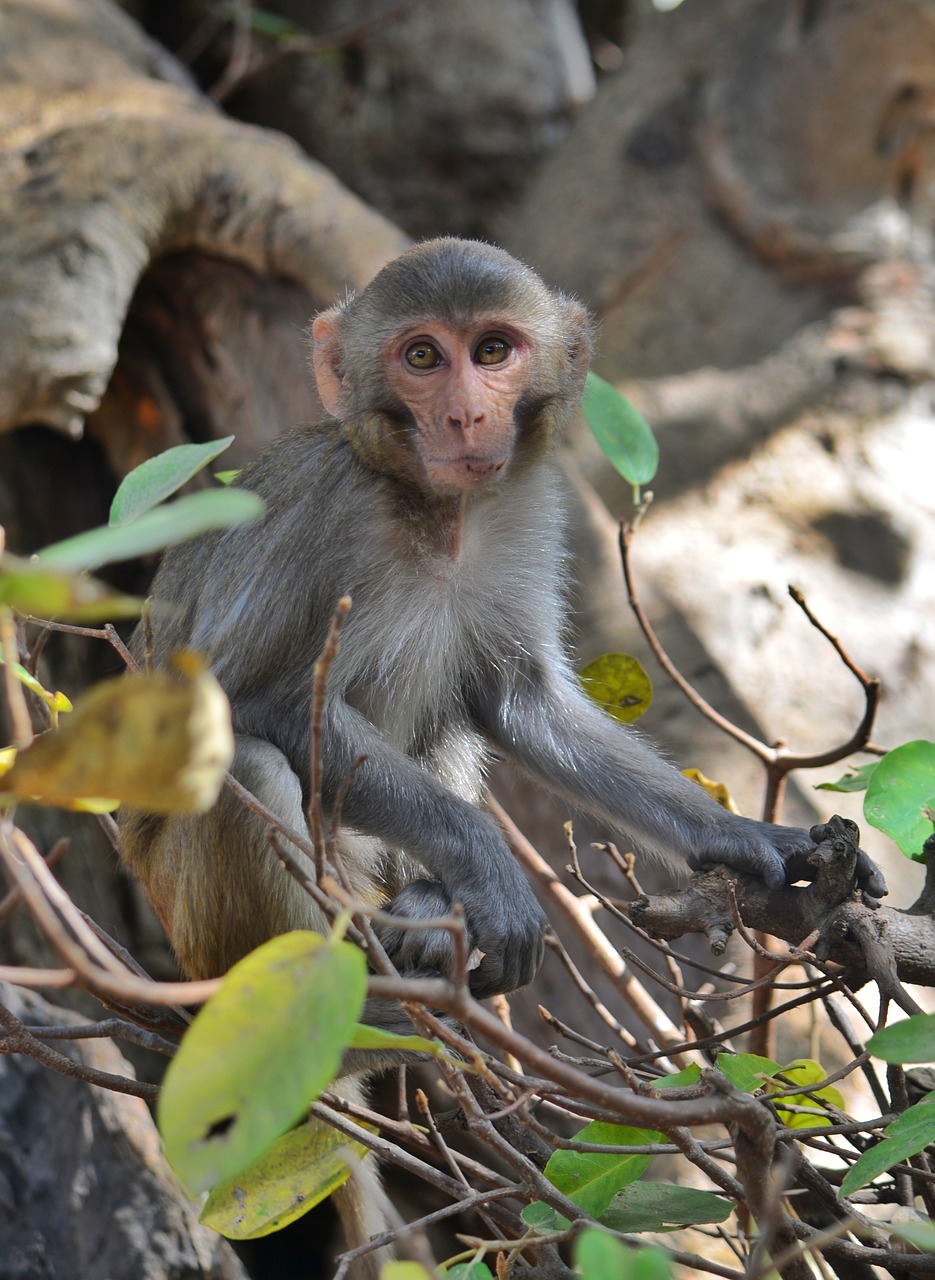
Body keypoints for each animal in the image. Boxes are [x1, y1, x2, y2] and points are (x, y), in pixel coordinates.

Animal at [118, 240, 881, 1269]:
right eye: (421, 358)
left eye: (491, 350)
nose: (465, 414)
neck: (438, 511)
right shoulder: (324, 513)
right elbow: (250, 701)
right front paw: (487, 862)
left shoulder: (525, 512)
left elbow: (521, 703)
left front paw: (751, 840)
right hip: (193, 917)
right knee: (251, 763)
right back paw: (356, 1021)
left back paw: (419, 912)